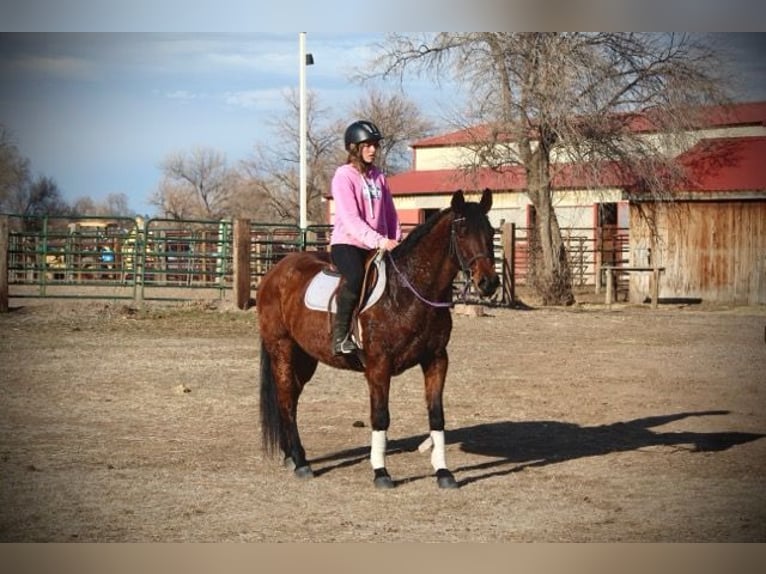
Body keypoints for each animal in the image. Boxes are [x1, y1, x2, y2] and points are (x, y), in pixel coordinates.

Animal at [258, 190, 498, 490]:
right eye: (463, 231)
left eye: (490, 231)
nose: (489, 282)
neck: (407, 290)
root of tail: (275, 271)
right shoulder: (378, 367)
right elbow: (380, 416)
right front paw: (381, 472)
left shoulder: (436, 360)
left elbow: (436, 415)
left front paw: (443, 472)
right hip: (282, 349)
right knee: (287, 399)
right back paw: (301, 462)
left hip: (305, 357)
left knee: (289, 397)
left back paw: (290, 456)